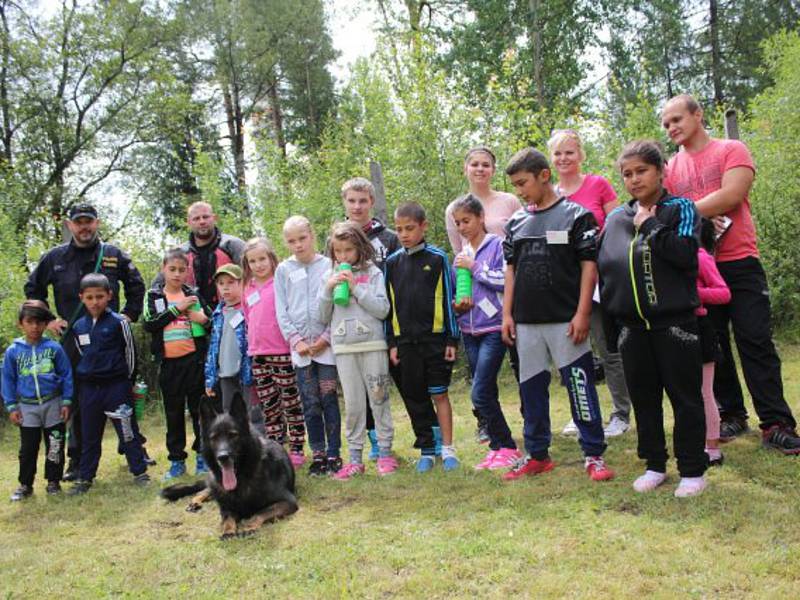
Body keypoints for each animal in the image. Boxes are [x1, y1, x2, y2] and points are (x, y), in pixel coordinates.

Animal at [161, 392, 298, 540]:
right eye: (214, 438)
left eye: (233, 435)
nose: (223, 457)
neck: (242, 478)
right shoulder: (226, 506)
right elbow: (227, 519)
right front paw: (228, 531)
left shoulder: (288, 501)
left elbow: (261, 512)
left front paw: (249, 526)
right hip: (215, 484)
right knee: (204, 491)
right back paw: (195, 501)